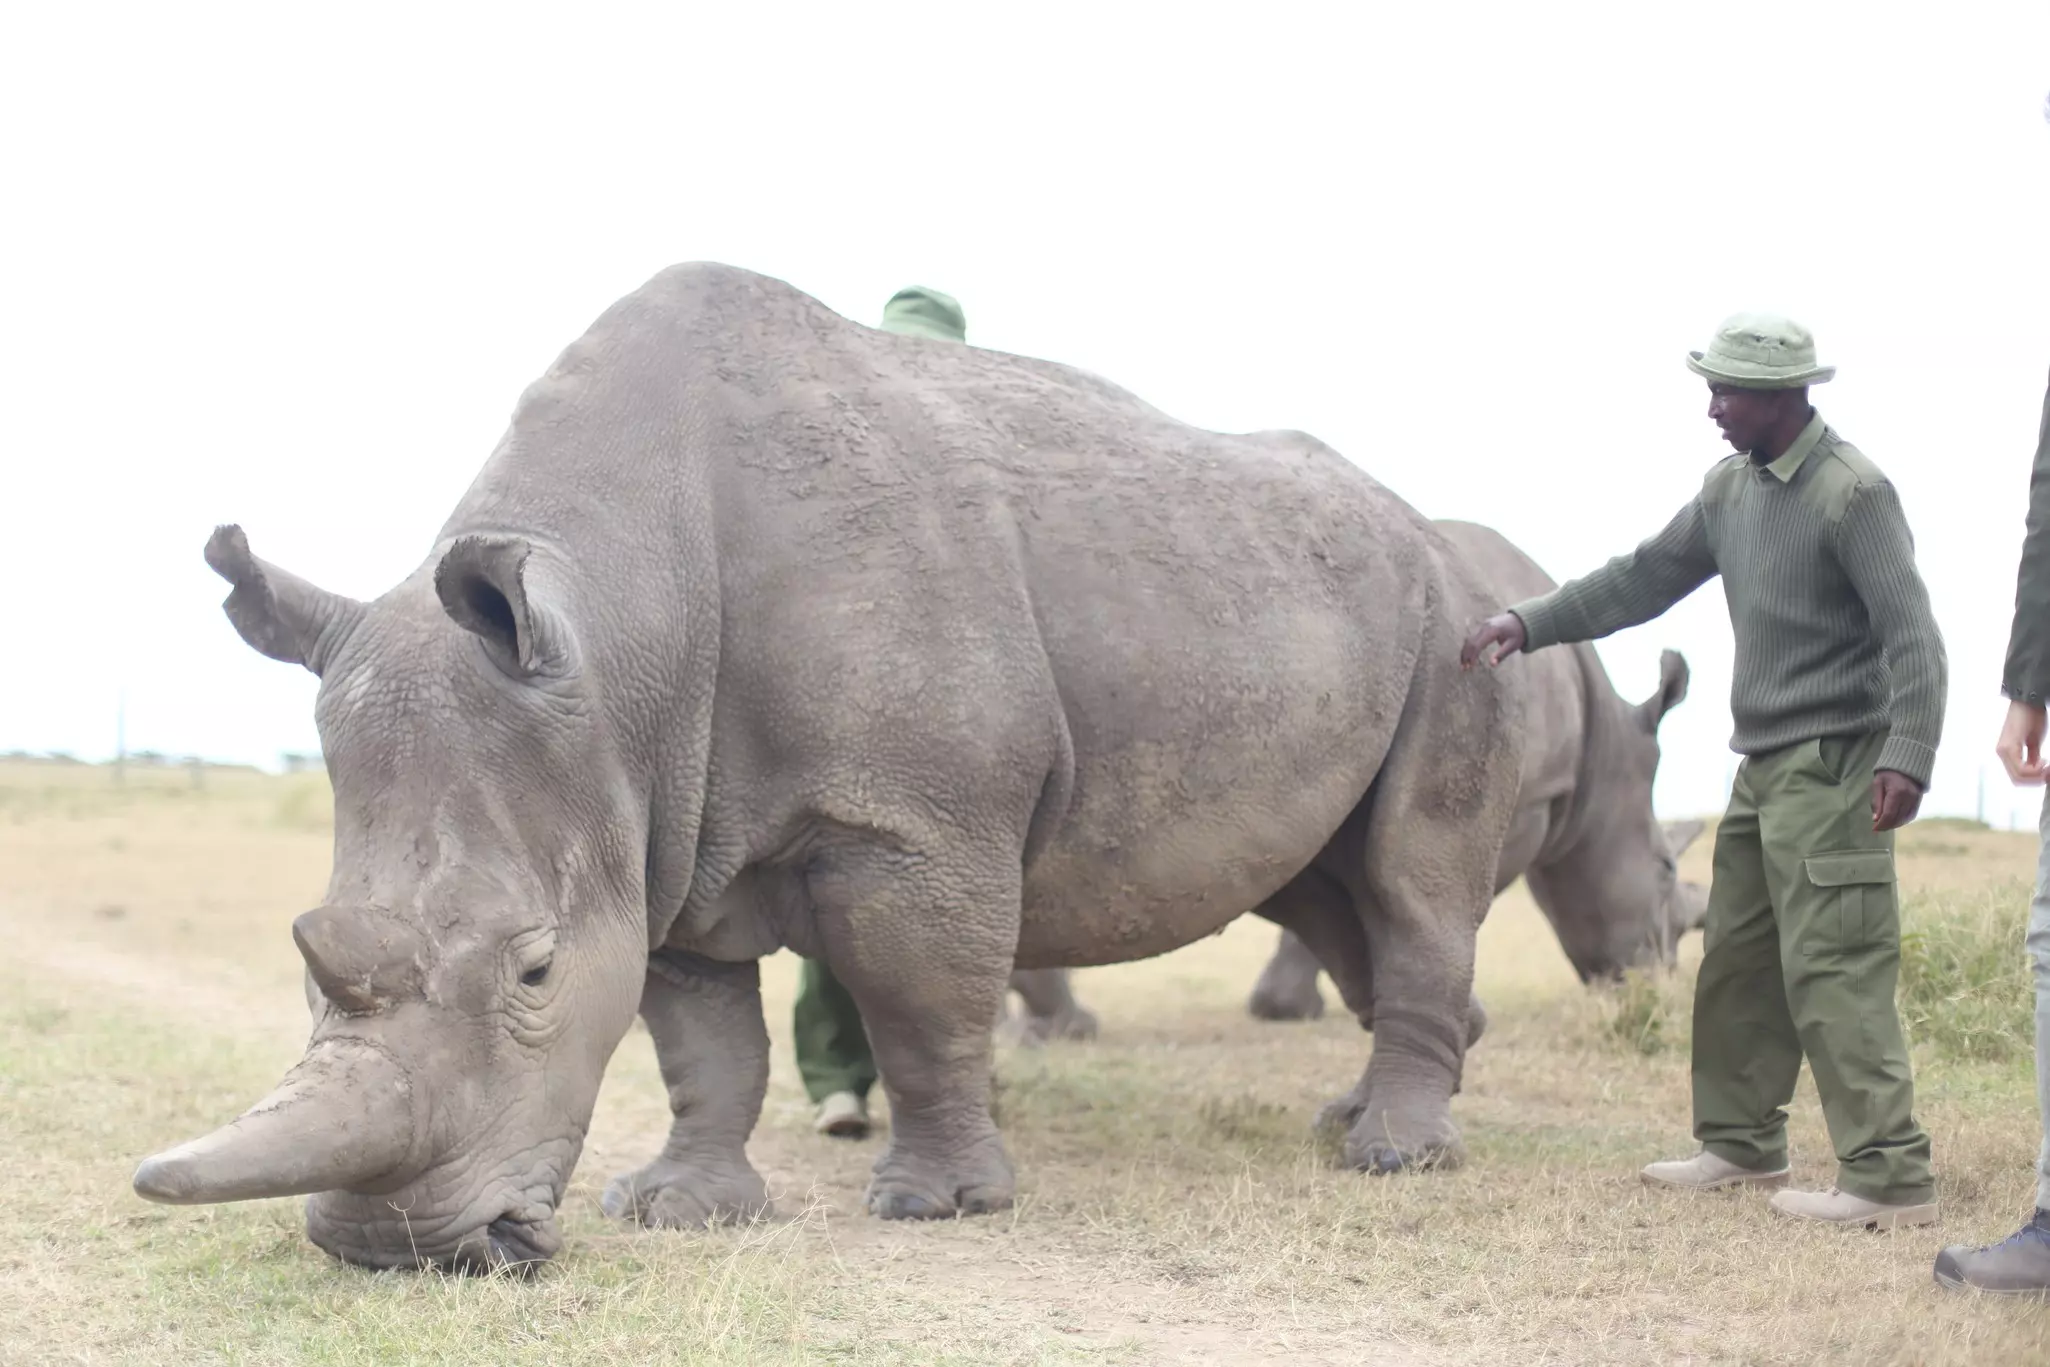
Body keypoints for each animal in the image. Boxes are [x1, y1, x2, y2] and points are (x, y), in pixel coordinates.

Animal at [132, 263, 1526, 1270]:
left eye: (532, 969)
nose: (397, 1251)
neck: (623, 629)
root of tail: (1424, 525)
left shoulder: (915, 825)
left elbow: (920, 1003)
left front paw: (940, 1206)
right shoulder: (657, 821)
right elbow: (702, 1040)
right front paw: (679, 1208)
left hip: (1453, 623)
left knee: (1408, 879)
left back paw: (1393, 1158)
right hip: (1302, 602)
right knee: (1326, 885)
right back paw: (1367, 1115)